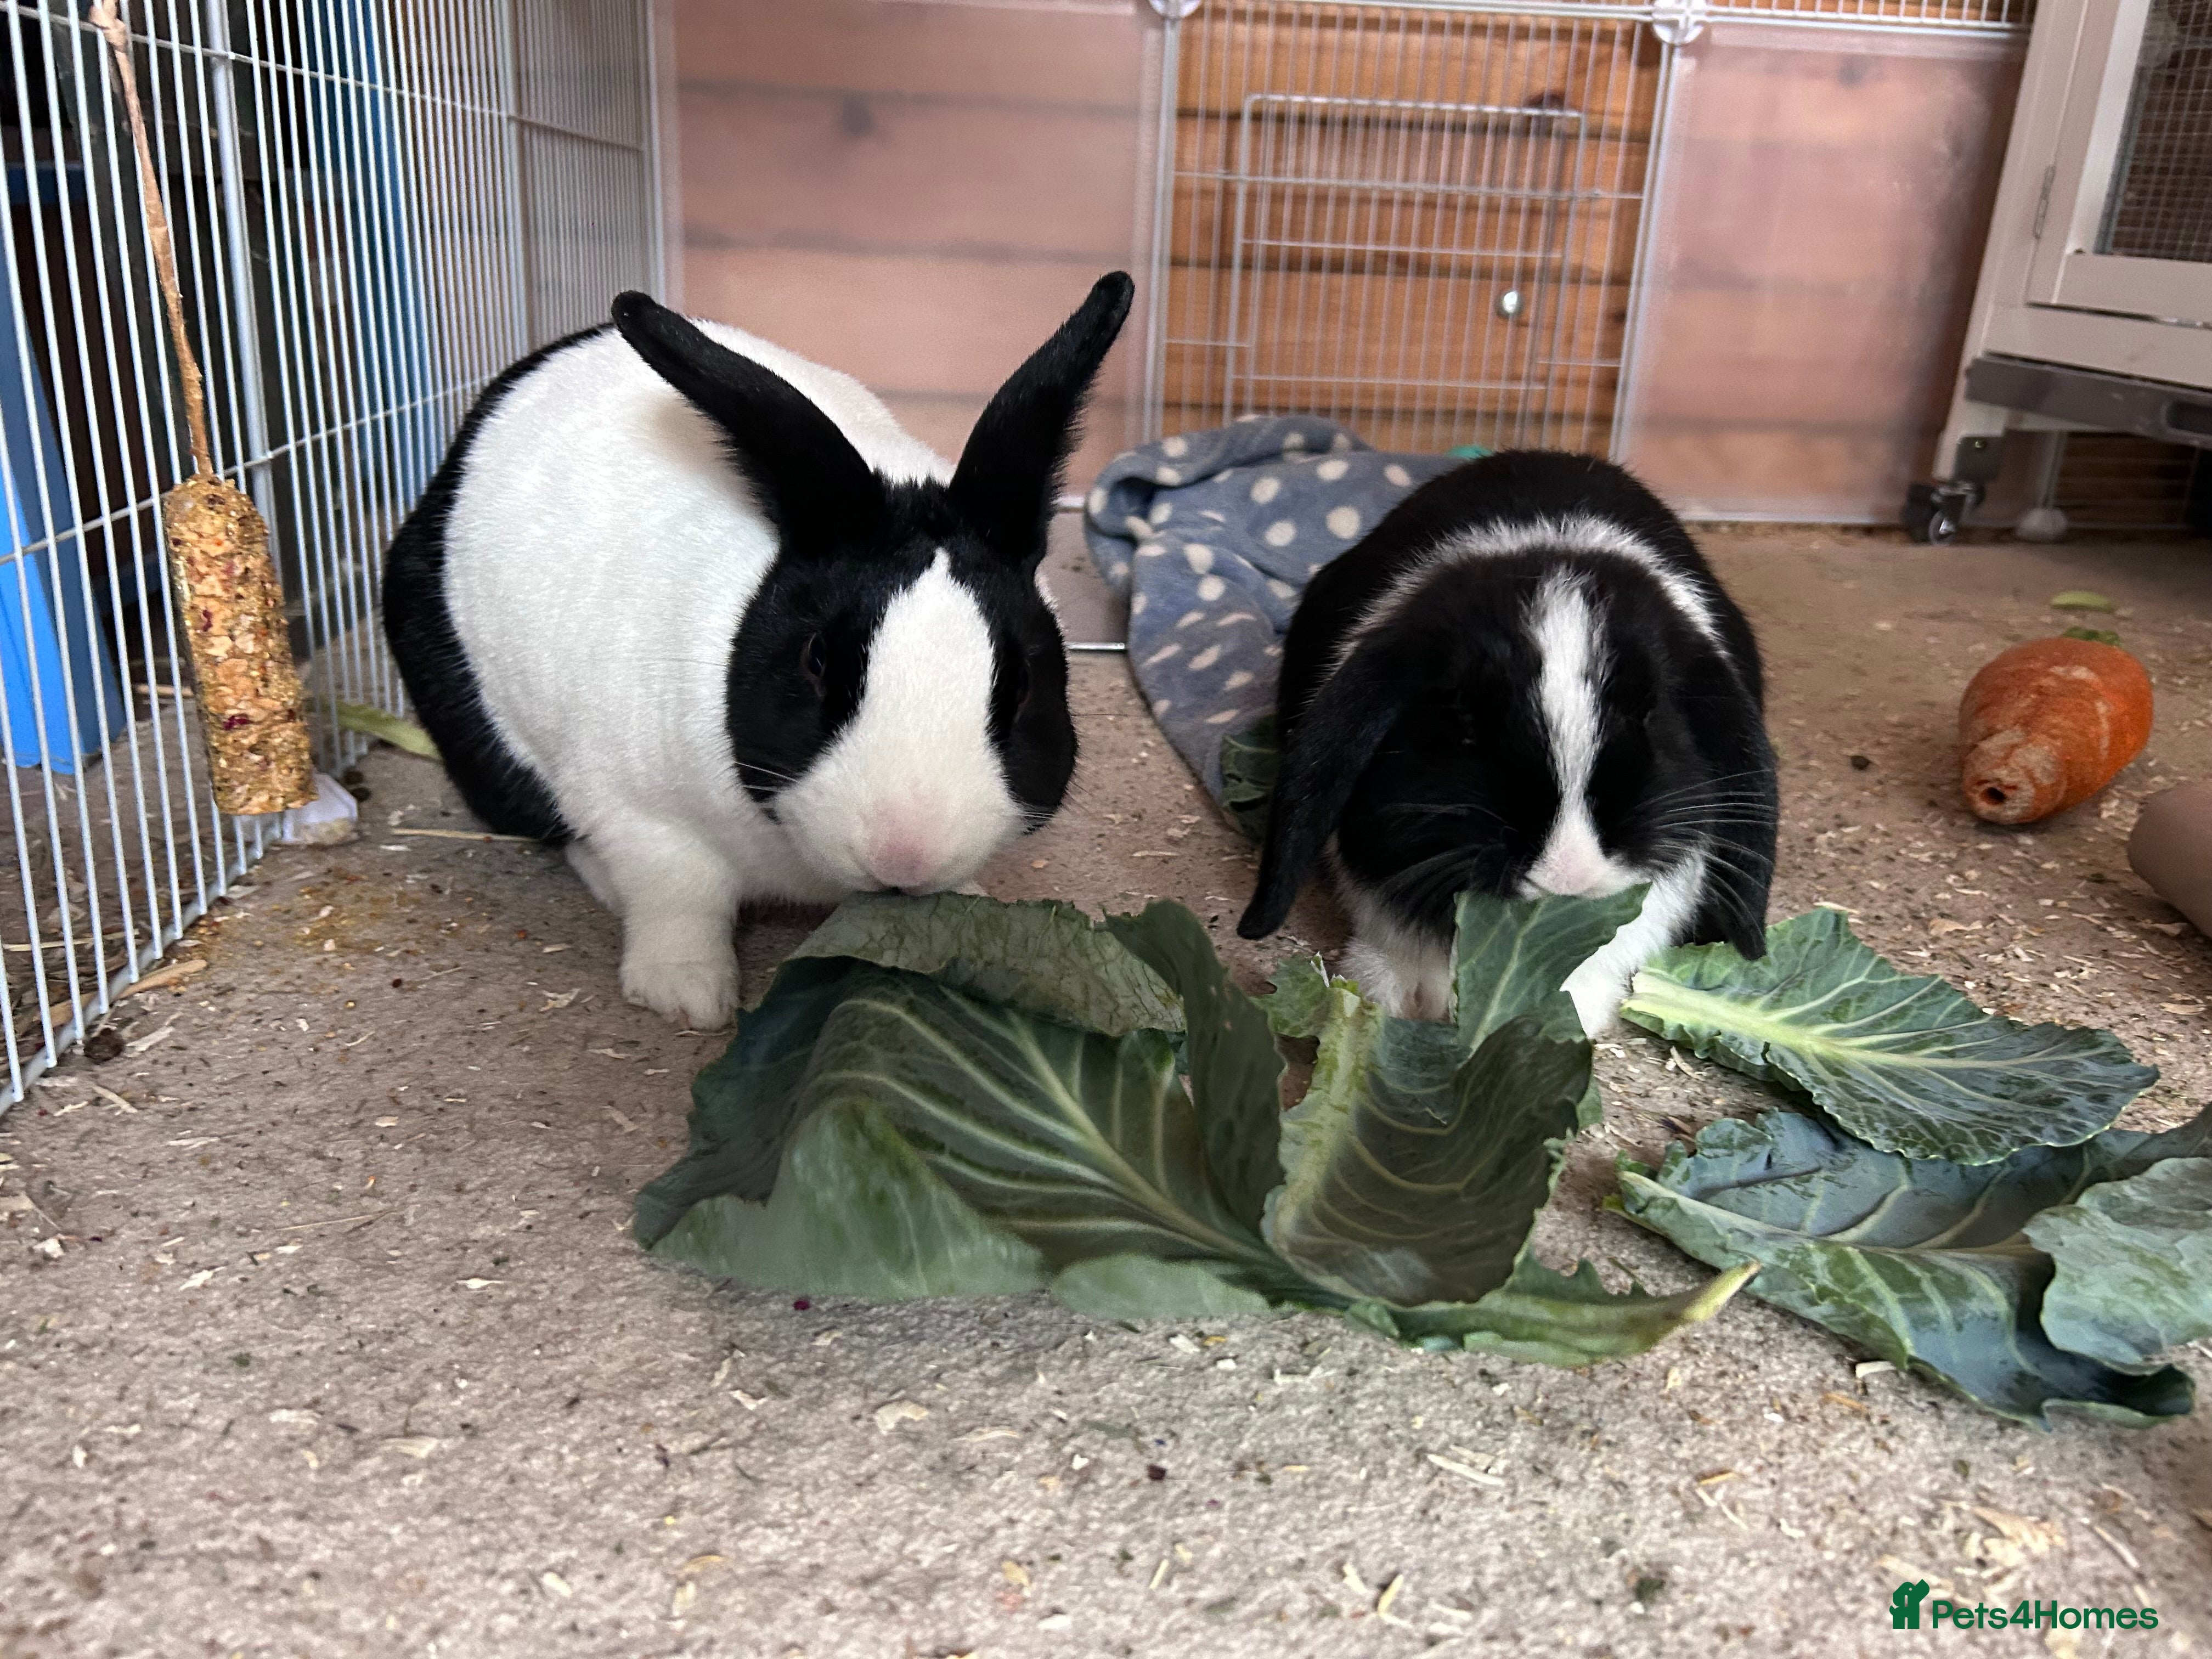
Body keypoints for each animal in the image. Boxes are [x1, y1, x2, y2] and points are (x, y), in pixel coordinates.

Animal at [383, 272, 1134, 1028]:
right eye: (817, 660)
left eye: (1022, 684)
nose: (905, 856)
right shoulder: (642, 818)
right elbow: (678, 903)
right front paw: (687, 997)